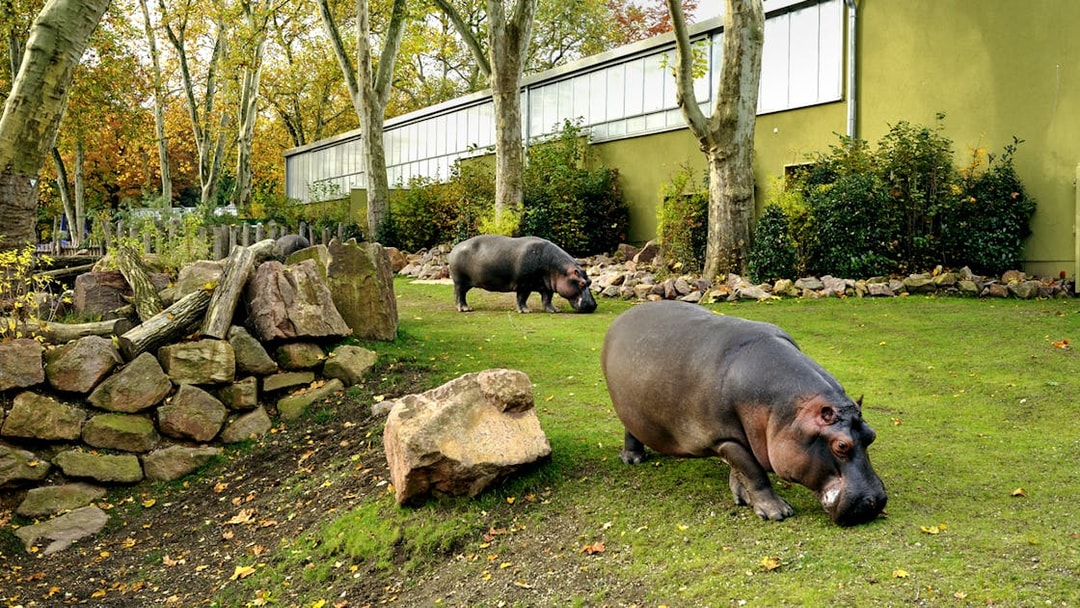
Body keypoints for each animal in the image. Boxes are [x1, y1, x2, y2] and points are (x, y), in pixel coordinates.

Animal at [448, 235, 597, 313]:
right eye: (582, 283)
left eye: (590, 282)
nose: (593, 305)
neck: (560, 270)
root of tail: (455, 248)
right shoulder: (524, 285)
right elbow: (522, 298)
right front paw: (526, 311)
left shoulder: (547, 286)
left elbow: (547, 299)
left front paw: (554, 310)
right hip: (460, 282)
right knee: (460, 295)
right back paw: (465, 309)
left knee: (459, 295)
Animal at [601, 301, 886, 526]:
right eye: (841, 445)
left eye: (872, 435)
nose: (875, 501)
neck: (789, 413)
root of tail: (623, 317)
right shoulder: (725, 438)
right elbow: (753, 472)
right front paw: (777, 513)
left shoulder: (740, 439)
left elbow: (740, 470)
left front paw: (742, 497)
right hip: (627, 408)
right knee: (630, 431)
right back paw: (633, 459)